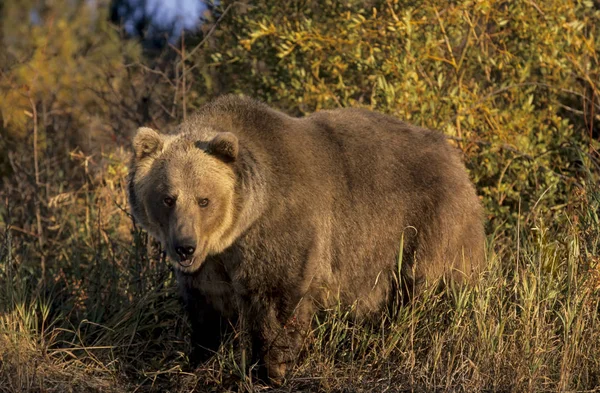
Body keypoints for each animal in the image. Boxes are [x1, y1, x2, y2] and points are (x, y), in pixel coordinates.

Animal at [126, 95, 482, 382]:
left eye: (204, 200)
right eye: (168, 198)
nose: (184, 247)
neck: (241, 225)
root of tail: (455, 158)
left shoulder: (281, 229)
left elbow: (278, 296)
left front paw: (274, 367)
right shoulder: (213, 263)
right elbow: (208, 306)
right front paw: (198, 360)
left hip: (426, 224)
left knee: (433, 288)